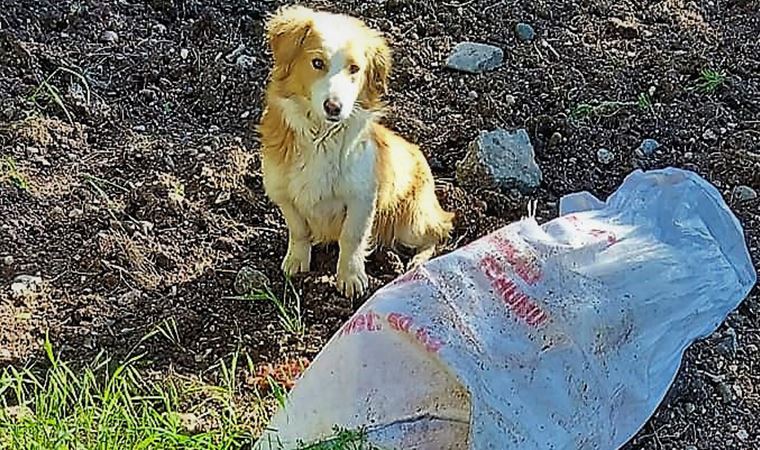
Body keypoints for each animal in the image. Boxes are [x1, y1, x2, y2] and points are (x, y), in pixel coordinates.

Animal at [258, 6, 454, 298]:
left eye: (355, 69)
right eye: (317, 63)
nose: (334, 107)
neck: (321, 136)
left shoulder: (362, 198)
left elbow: (351, 238)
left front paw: (350, 277)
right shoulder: (283, 194)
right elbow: (299, 230)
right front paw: (297, 261)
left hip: (410, 222)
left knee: (440, 231)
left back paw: (417, 263)